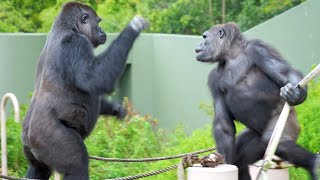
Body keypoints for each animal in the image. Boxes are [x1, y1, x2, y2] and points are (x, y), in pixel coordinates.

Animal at [21, 1, 149, 180]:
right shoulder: (76, 43)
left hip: (31, 149)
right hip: (44, 138)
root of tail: (28, 137)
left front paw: (116, 109)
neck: (67, 28)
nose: (102, 31)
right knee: (77, 164)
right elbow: (96, 77)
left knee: (38, 168)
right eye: (99, 22)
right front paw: (134, 27)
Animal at [195, 22, 320, 180]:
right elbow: (223, 125)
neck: (232, 55)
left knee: (278, 141)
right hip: (256, 140)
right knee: (240, 159)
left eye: (204, 37)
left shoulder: (259, 49)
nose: (199, 45)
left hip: (287, 120)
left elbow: (285, 72)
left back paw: (313, 163)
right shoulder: (213, 80)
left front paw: (297, 94)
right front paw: (223, 160)